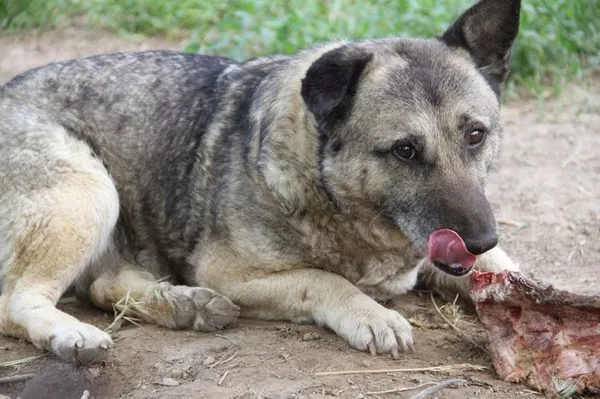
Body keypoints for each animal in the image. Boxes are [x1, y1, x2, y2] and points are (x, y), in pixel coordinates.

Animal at [0, 0, 520, 364]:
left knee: (102, 285)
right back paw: (72, 333)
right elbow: (324, 279)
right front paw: (371, 314)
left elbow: (507, 270)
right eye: (405, 150)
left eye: (476, 135)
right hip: (88, 191)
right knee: (16, 302)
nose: (479, 238)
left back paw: (181, 304)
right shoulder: (227, 273)